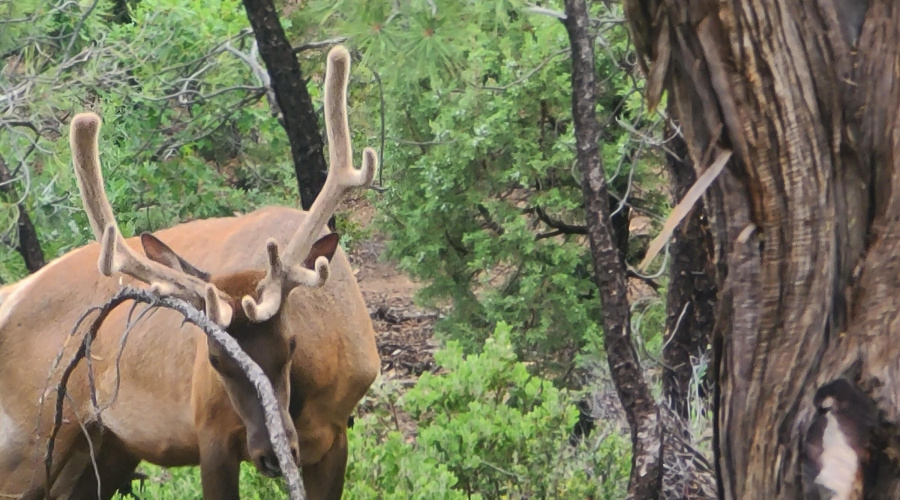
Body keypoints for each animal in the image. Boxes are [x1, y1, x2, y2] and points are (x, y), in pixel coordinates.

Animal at [0, 45, 382, 498]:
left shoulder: (336, 430)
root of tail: (11, 294)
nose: (275, 454)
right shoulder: (211, 432)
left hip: (101, 447)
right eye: (214, 360)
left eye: (291, 345)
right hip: (26, 437)